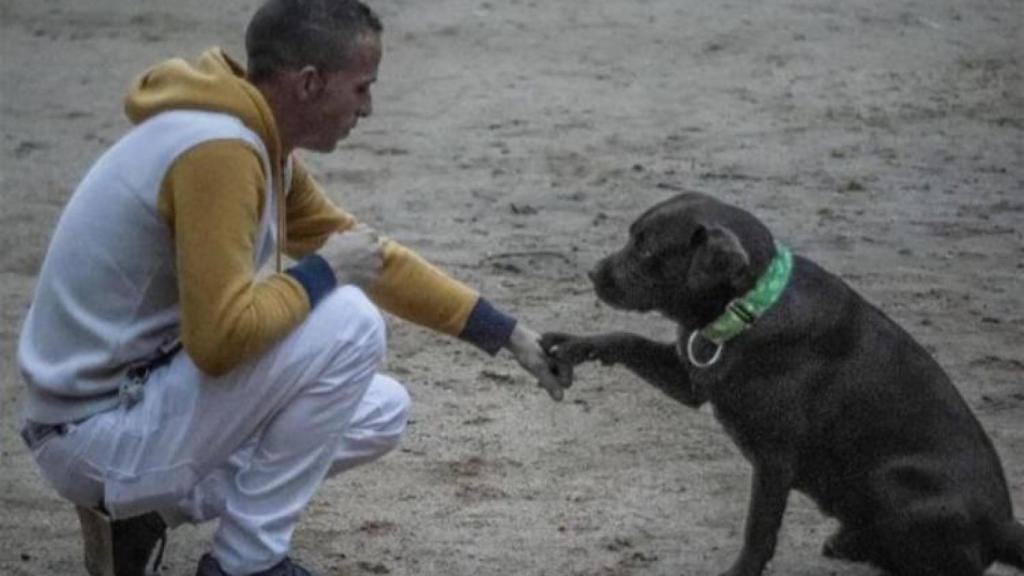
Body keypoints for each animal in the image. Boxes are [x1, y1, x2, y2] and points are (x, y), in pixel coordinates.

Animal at [540, 191, 1019, 573]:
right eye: (631, 239)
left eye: (645, 251)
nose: (592, 272)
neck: (749, 309)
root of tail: (1004, 525)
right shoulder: (690, 380)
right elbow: (625, 339)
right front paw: (573, 345)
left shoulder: (774, 460)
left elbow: (759, 531)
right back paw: (850, 542)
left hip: (893, 480)